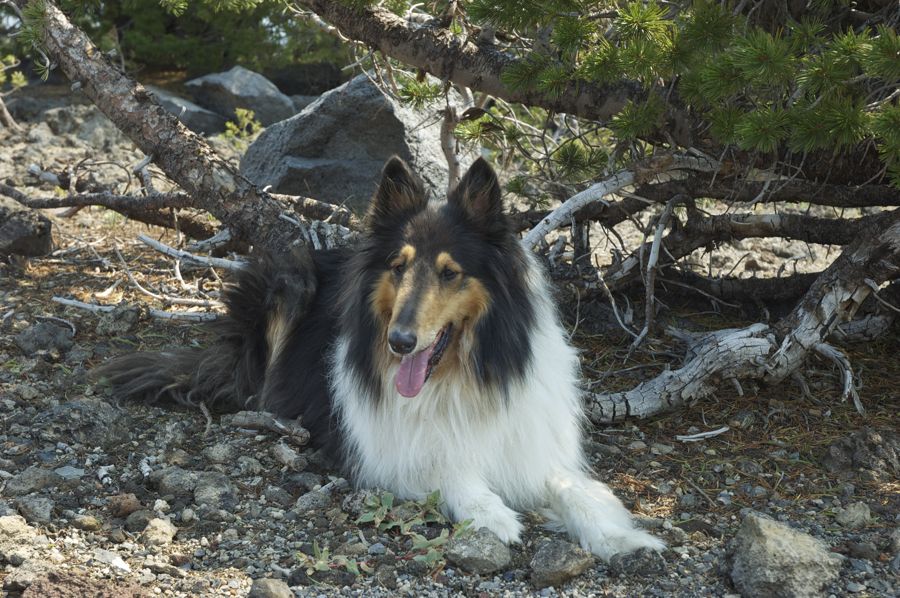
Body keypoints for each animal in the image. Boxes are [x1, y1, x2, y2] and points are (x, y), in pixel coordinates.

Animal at [98, 157, 660, 560]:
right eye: (398, 266)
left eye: (450, 272)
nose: (400, 342)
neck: (456, 377)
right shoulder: (391, 452)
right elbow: (448, 469)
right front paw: (492, 514)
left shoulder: (529, 444)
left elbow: (573, 488)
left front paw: (621, 537)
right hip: (290, 279)